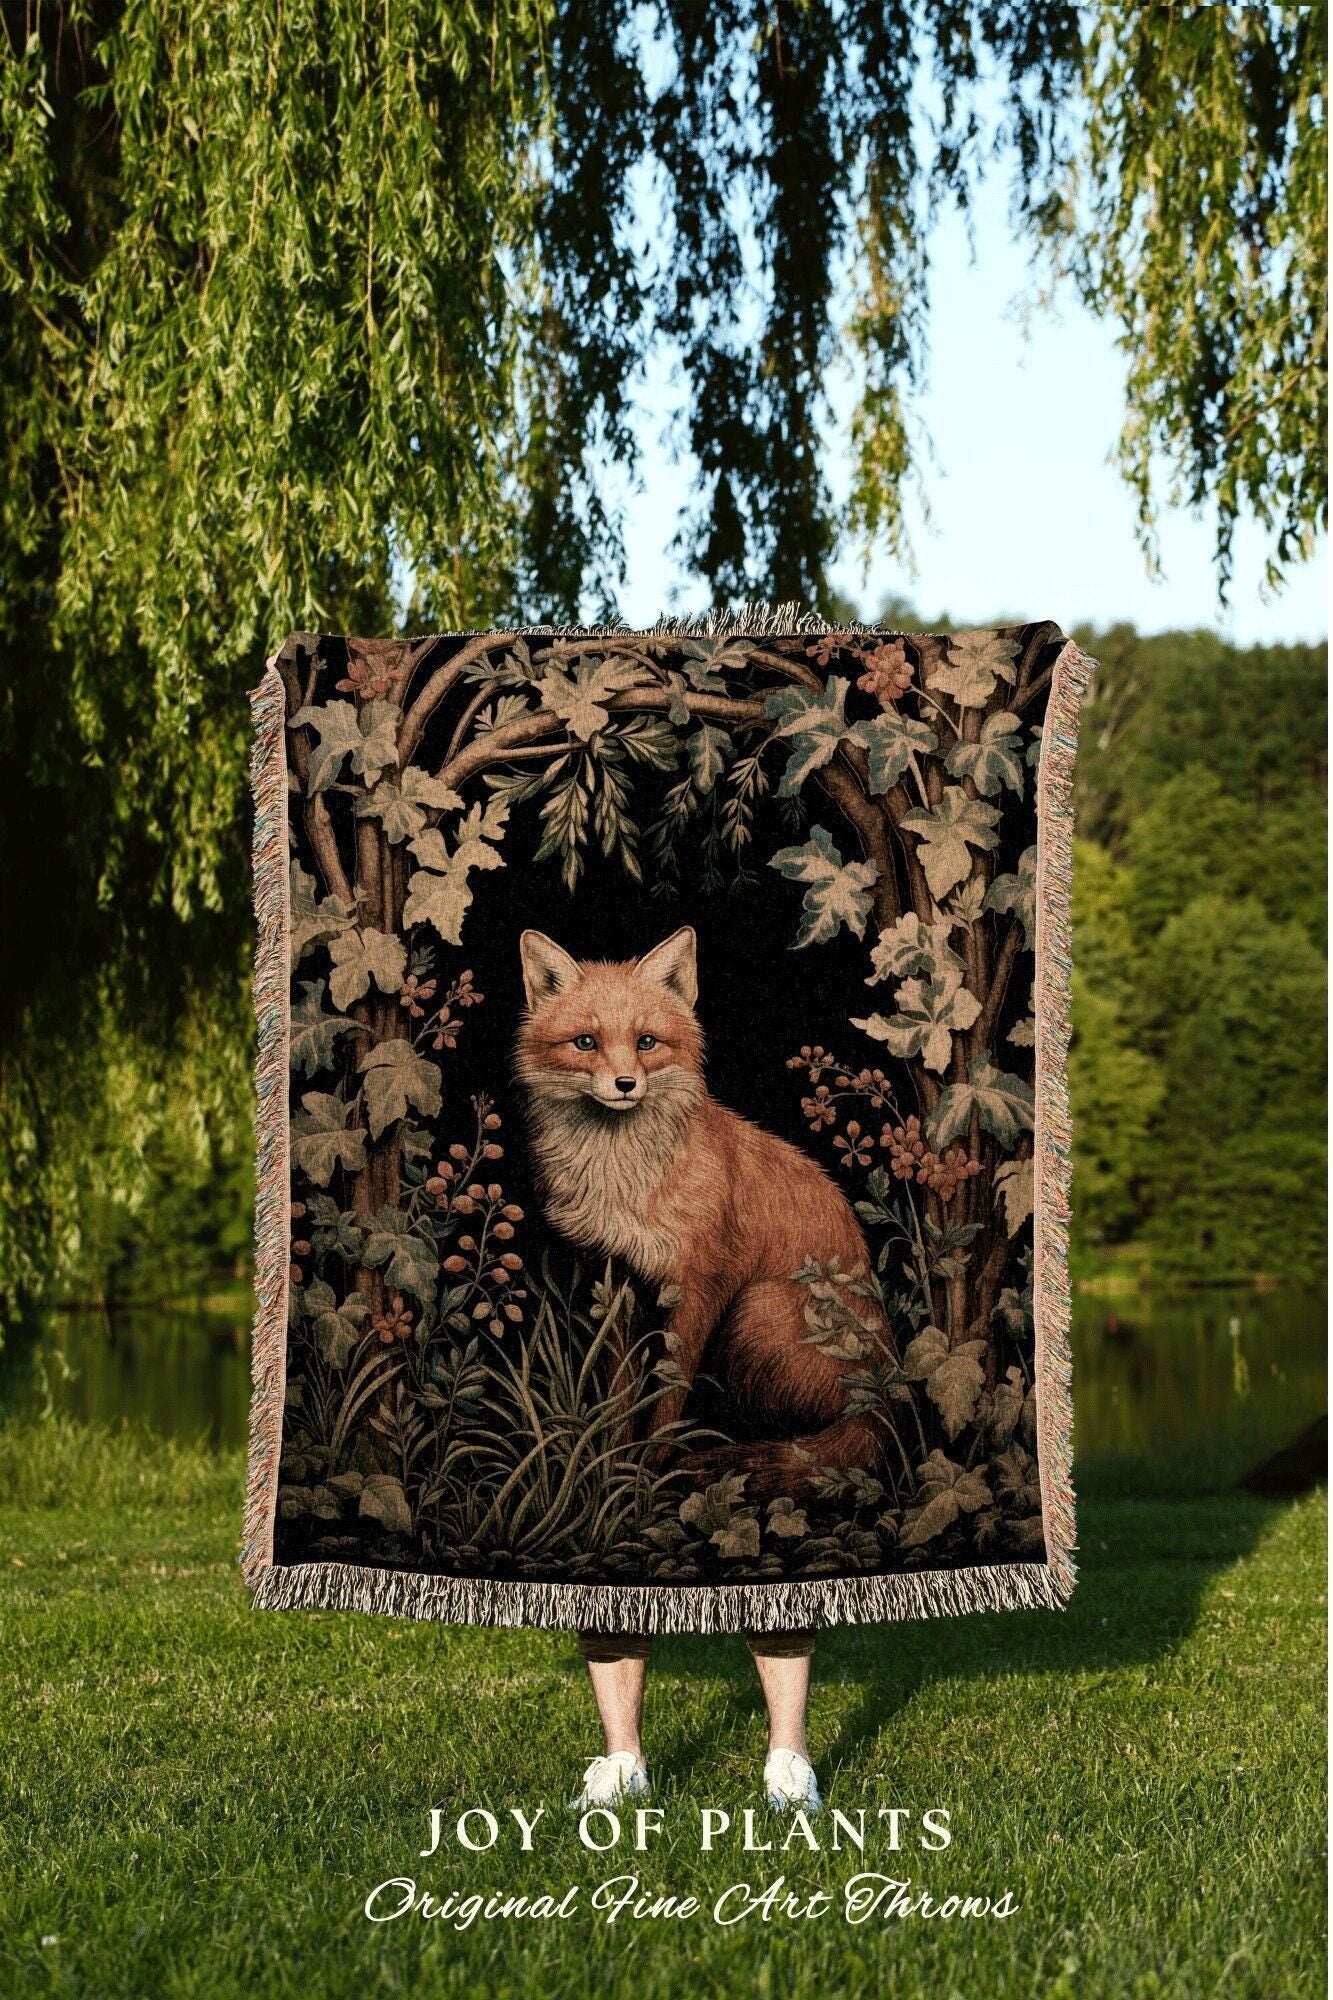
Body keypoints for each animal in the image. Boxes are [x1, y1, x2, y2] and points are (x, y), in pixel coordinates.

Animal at [515, 926, 893, 1500]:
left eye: (646, 1042)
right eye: (585, 1043)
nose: (625, 1084)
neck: (624, 1180)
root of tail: (880, 1393)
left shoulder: (703, 1282)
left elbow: (670, 1387)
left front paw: (648, 1470)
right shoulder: (619, 1280)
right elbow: (621, 1389)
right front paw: (611, 1462)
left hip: (753, 1313)